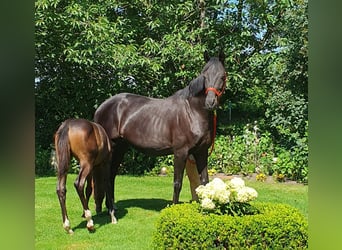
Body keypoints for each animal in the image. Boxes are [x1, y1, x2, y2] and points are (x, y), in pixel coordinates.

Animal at [95, 51, 226, 207]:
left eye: (222, 76)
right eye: (204, 76)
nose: (210, 102)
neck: (193, 112)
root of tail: (102, 107)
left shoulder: (201, 152)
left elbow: (204, 182)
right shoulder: (180, 153)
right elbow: (177, 183)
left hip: (120, 147)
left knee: (111, 175)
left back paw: (111, 206)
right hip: (112, 148)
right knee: (106, 176)